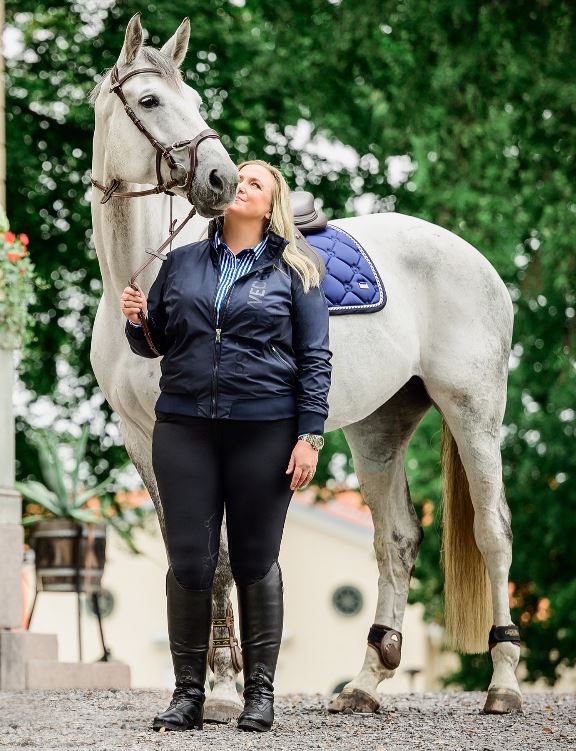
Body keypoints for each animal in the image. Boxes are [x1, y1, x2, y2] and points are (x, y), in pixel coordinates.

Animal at [90, 14, 521, 720]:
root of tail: (472, 257)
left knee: (494, 533)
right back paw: (364, 685)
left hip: (474, 412)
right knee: (396, 541)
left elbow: (224, 558)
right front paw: (204, 690)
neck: (145, 275)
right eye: (149, 101)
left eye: (197, 101)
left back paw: (503, 684)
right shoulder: (143, 435)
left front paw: (225, 689)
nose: (221, 179)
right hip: (380, 428)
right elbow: (192, 552)